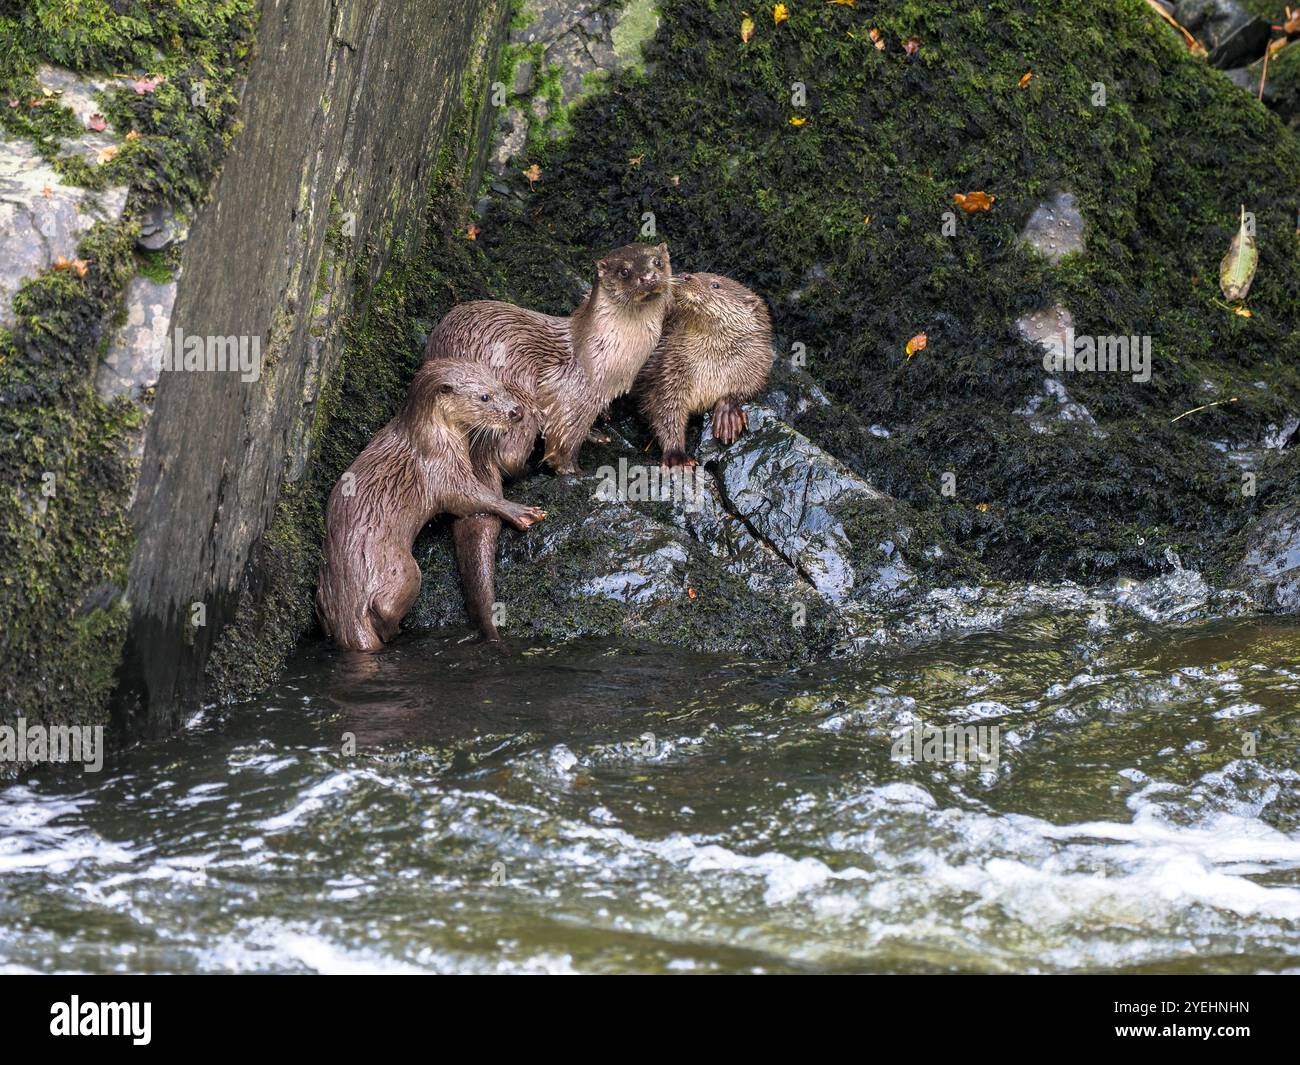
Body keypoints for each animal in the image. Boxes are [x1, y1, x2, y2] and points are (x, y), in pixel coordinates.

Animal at [316, 359, 546, 652]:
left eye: (500, 386)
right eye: (484, 397)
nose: (516, 411)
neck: (434, 435)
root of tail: (349, 605)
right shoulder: (441, 470)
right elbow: (471, 497)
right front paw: (521, 511)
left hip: (324, 594)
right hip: (404, 573)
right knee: (387, 607)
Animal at [424, 242, 672, 642]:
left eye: (657, 261)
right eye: (624, 271)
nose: (648, 277)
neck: (612, 359)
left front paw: (598, 432)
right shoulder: (575, 393)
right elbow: (564, 437)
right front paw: (573, 472)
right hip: (518, 403)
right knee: (509, 460)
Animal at [636, 271, 773, 467]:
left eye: (715, 285)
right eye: (696, 273)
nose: (685, 275)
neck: (710, 367)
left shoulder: (756, 365)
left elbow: (748, 388)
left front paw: (727, 413)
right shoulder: (667, 370)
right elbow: (665, 411)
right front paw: (676, 455)